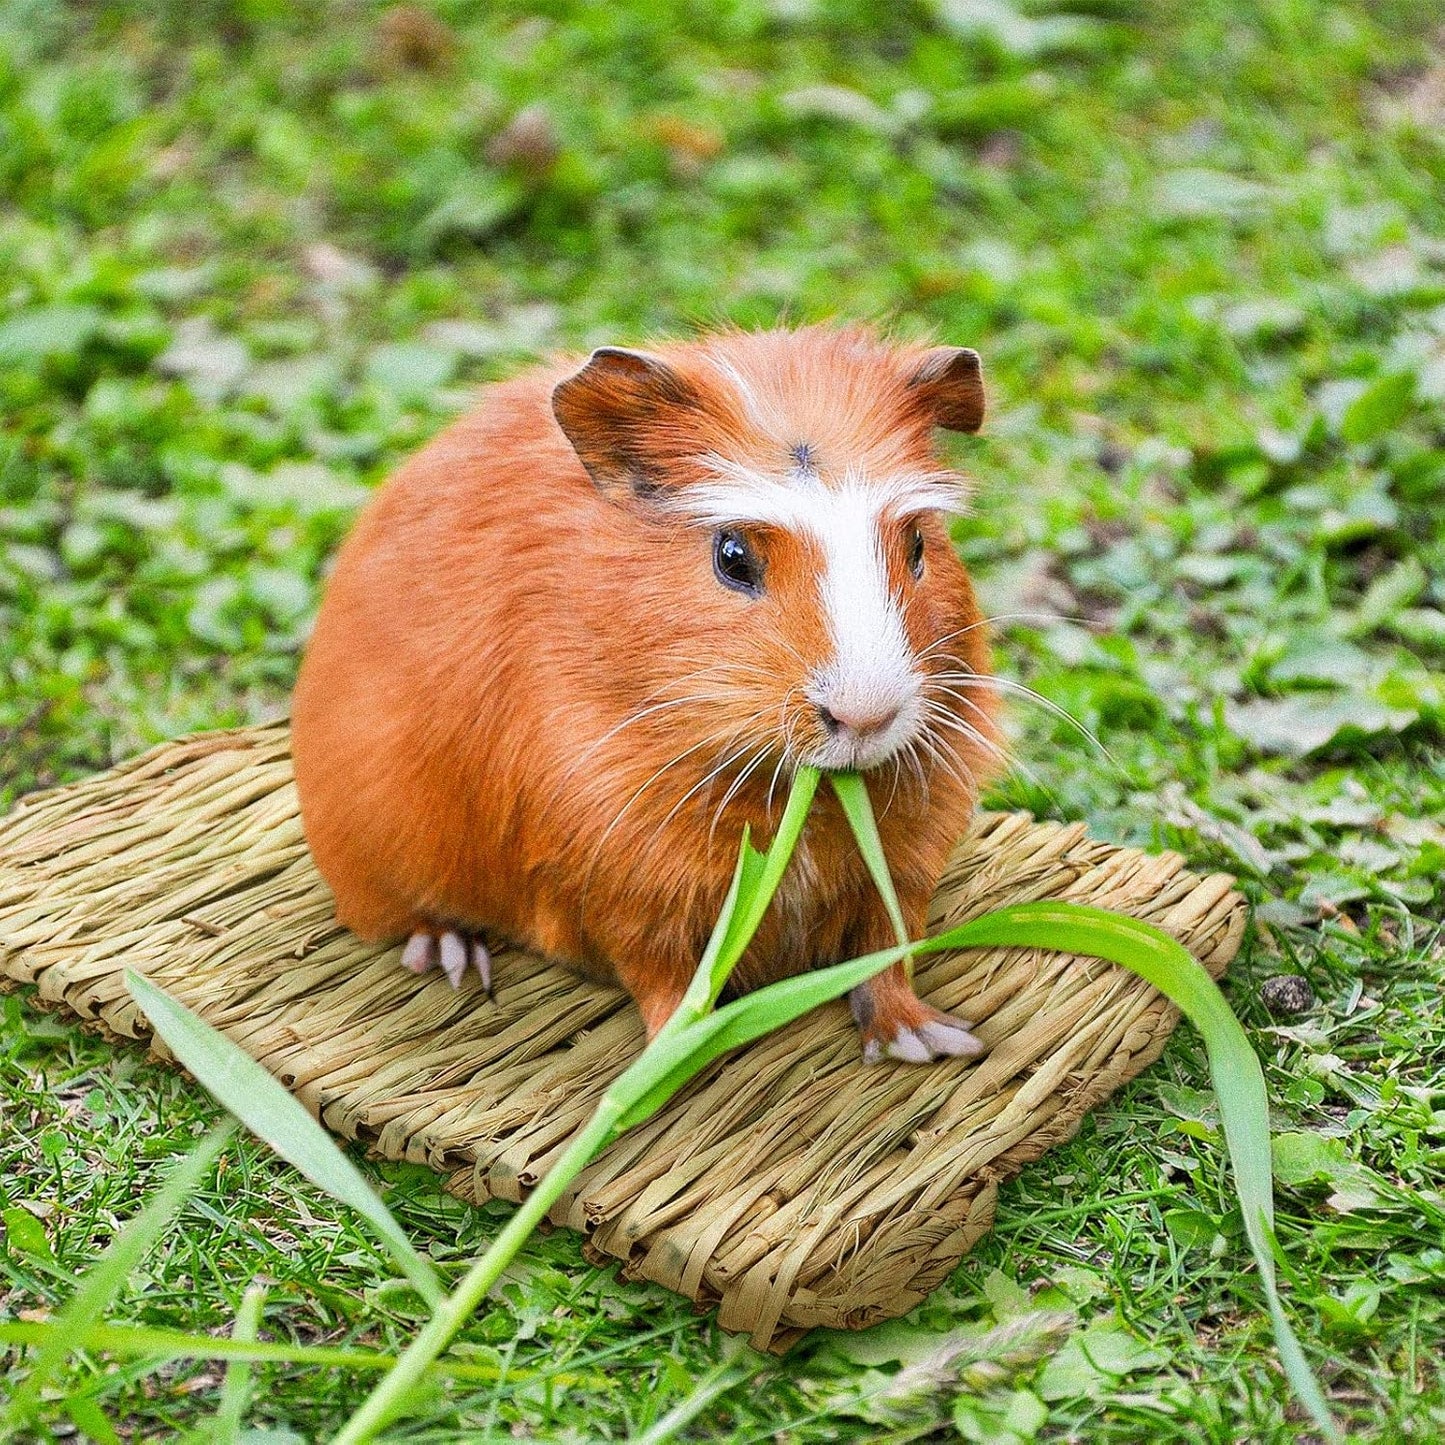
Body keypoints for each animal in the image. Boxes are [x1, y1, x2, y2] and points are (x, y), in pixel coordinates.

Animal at [290, 324, 1000, 1063]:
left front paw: (931, 1042)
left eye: (916, 544)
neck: (791, 797)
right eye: (732, 557)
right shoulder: (625, 885)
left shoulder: (905, 863)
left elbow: (887, 951)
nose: (865, 714)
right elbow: (666, 979)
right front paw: (681, 1055)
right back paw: (453, 958)